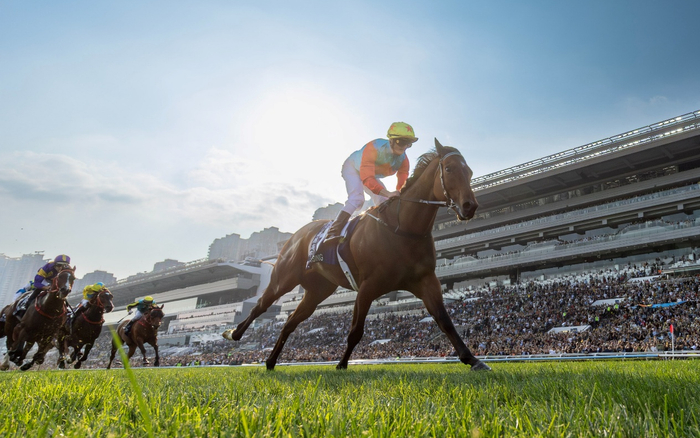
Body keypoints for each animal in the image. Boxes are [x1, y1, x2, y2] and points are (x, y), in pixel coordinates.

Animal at [223, 139, 491, 371]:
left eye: (470, 172)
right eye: (449, 168)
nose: (470, 206)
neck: (403, 228)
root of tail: (297, 235)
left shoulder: (425, 280)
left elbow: (445, 320)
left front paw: (473, 359)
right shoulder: (367, 286)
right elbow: (355, 331)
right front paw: (341, 365)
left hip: (317, 291)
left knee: (289, 323)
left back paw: (270, 362)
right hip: (284, 279)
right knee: (260, 306)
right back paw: (233, 333)